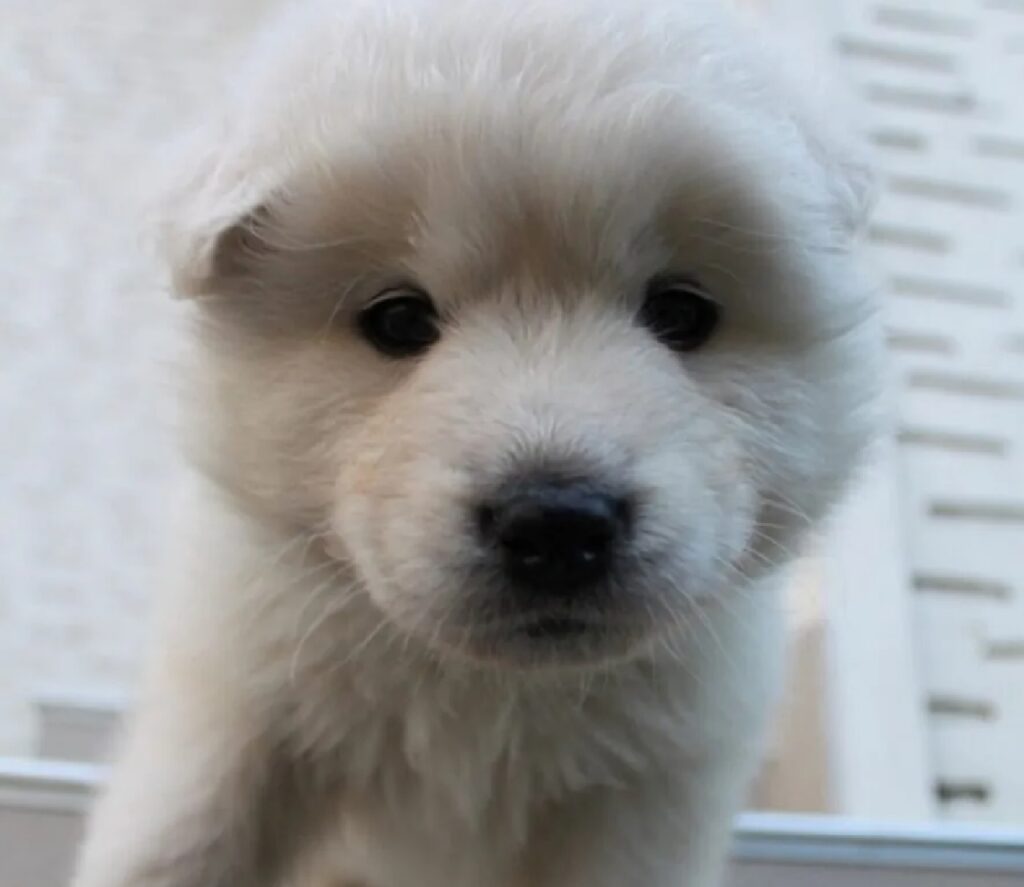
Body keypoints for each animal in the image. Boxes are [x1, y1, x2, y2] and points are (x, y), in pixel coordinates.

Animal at [75, 1, 884, 884]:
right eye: (398, 320)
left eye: (682, 313)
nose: (557, 524)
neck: (488, 688)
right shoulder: (236, 712)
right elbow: (177, 844)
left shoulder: (646, 793)